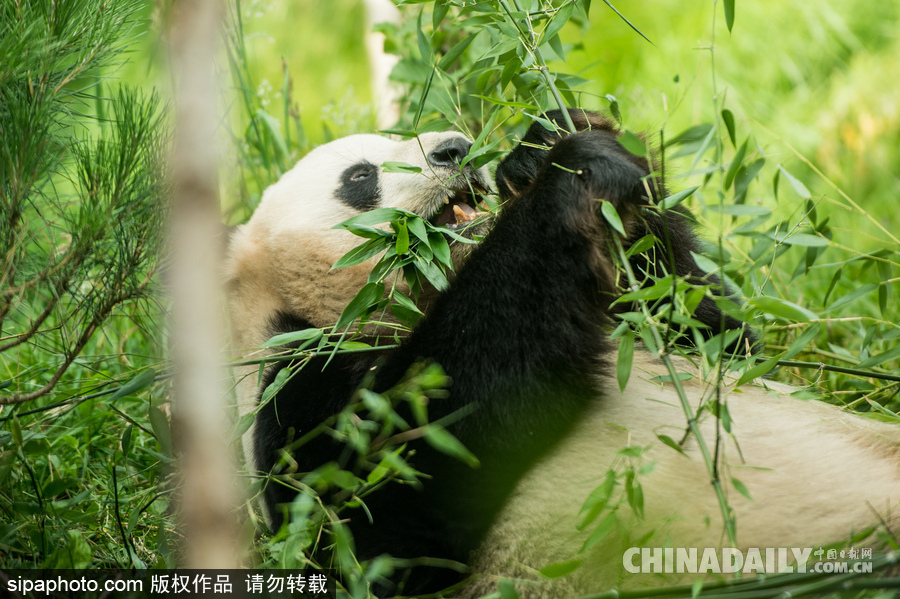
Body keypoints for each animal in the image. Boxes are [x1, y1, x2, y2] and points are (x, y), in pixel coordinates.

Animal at [229, 111, 900, 599]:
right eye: (360, 177)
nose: (455, 149)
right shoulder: (290, 400)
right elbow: (389, 504)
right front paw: (573, 175)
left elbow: (717, 338)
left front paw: (549, 139)